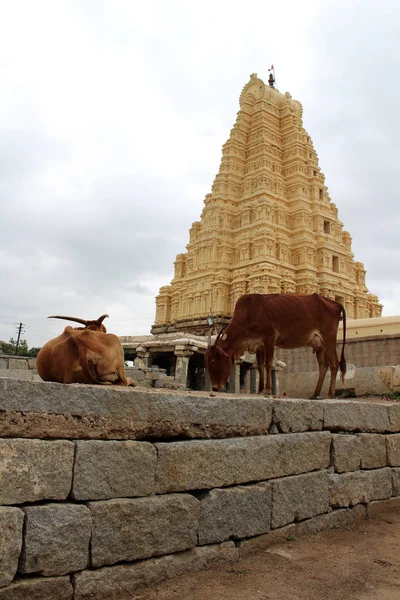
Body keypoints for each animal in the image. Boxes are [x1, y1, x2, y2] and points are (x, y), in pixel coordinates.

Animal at [205, 292, 346, 398]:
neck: (248, 314)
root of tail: (334, 303)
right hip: (320, 344)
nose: (215, 387)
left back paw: (330, 394)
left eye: (212, 362)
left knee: (334, 363)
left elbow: (268, 364)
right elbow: (260, 367)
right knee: (323, 365)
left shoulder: (269, 340)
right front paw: (259, 390)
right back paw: (315, 393)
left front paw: (267, 390)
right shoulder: (259, 346)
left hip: (329, 338)